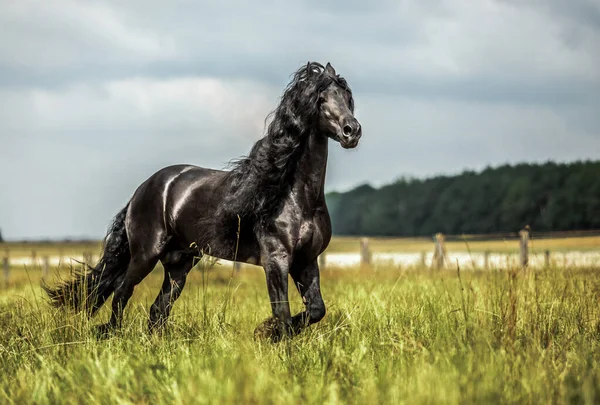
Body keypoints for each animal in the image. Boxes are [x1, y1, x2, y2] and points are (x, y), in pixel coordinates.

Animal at [44, 61, 360, 340]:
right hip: (146, 255)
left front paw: (264, 332)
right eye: (320, 98)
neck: (296, 198)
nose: (352, 131)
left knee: (158, 310)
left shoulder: (307, 261)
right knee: (122, 293)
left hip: (180, 263)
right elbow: (281, 314)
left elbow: (316, 310)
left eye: (347, 97)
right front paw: (268, 336)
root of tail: (143, 189)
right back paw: (110, 337)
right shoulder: (276, 260)